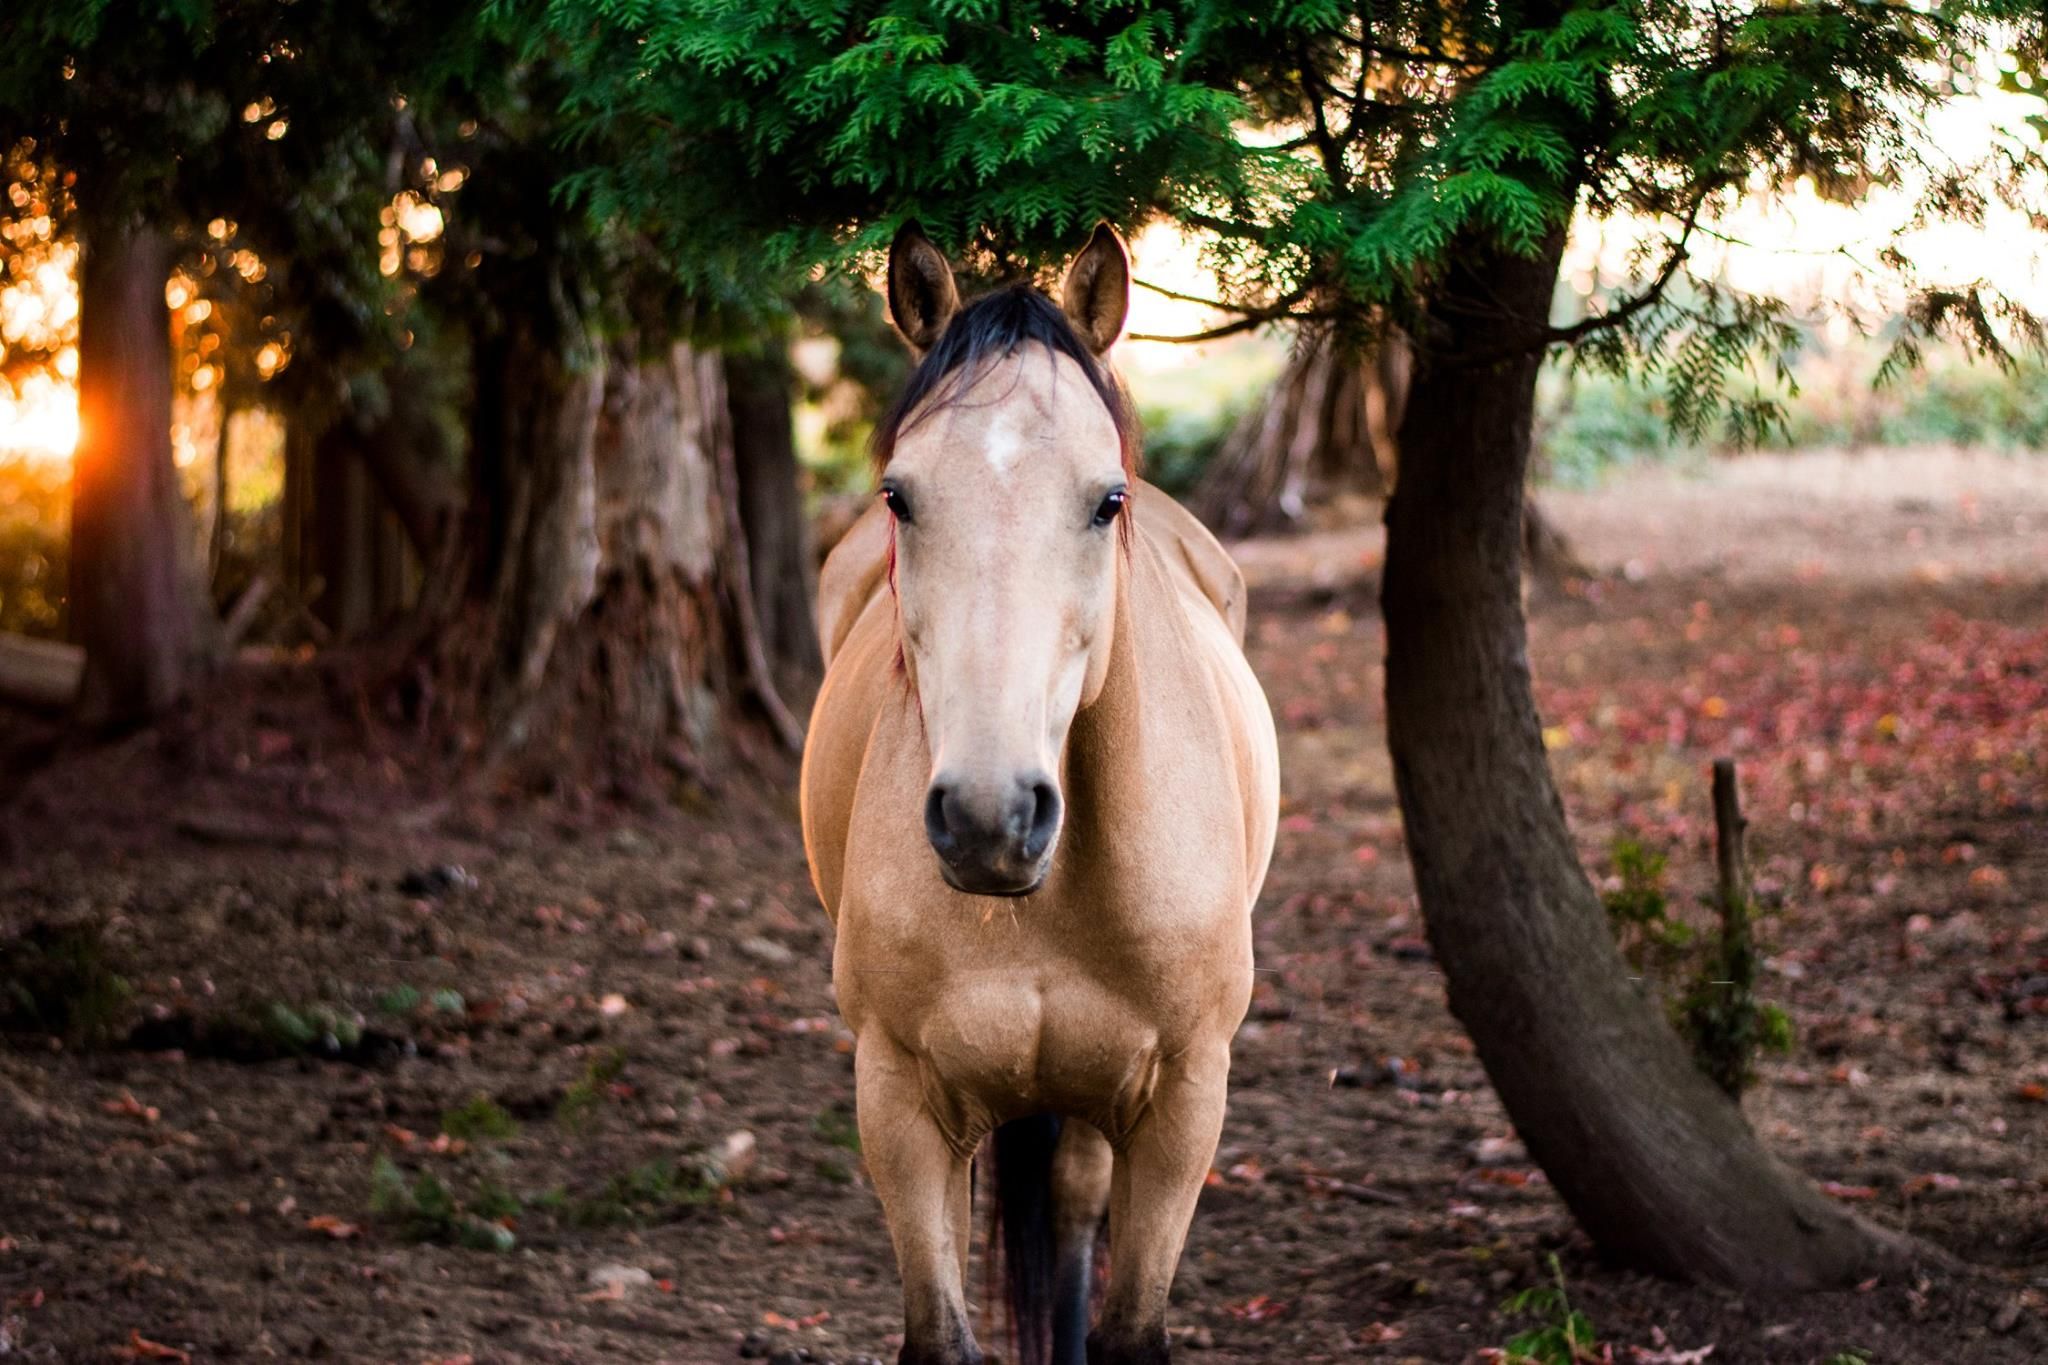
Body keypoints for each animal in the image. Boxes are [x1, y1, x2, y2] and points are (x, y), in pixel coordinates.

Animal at [800, 222, 1280, 1365]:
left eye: (1106, 499)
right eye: (899, 495)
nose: (991, 818)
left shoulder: (1182, 1101)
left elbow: (1127, 1330)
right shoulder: (897, 1099)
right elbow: (940, 1335)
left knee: (1068, 1212)